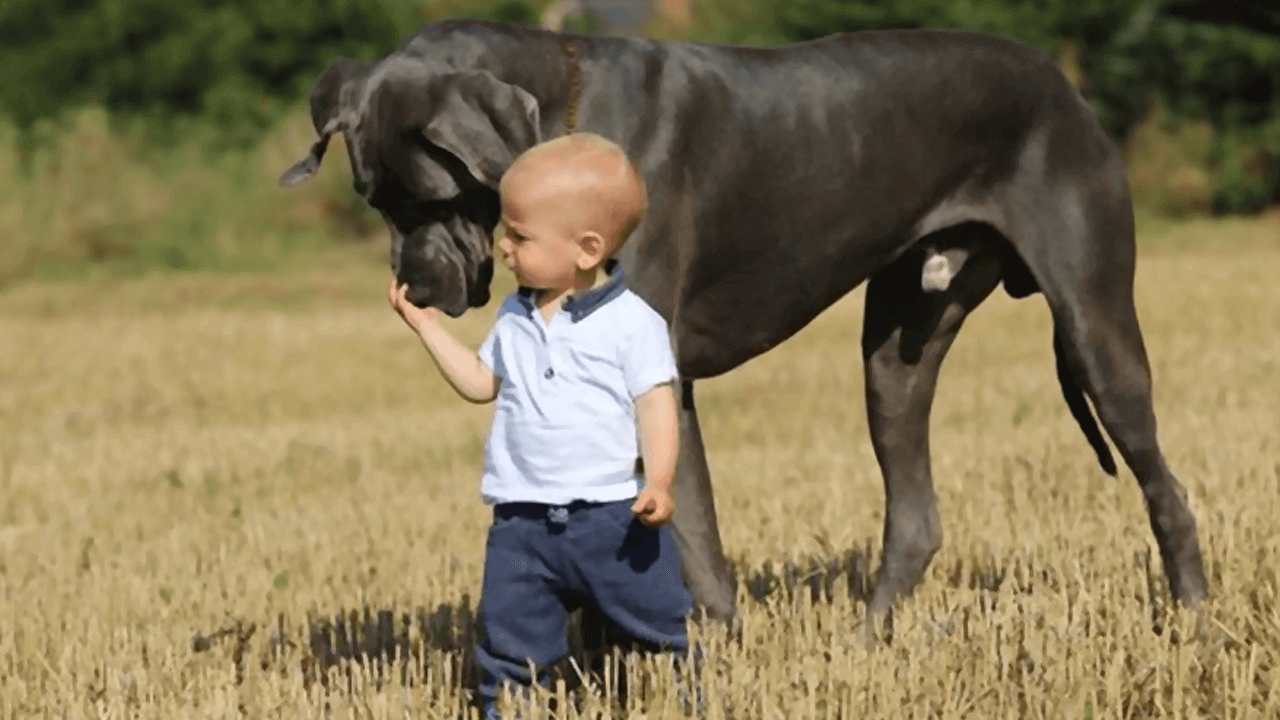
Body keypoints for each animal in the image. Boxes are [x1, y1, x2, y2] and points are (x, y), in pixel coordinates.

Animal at [280, 16, 1208, 632]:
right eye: (376, 201)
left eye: (433, 198)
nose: (416, 288)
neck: (567, 115)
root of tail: (1062, 82)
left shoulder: (656, 378)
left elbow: (689, 533)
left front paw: (708, 646)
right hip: (897, 349)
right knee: (915, 513)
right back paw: (866, 643)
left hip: (1094, 325)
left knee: (1165, 486)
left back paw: (1193, 621)